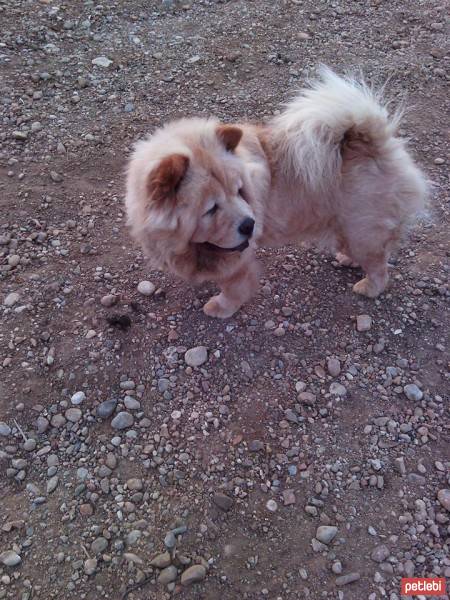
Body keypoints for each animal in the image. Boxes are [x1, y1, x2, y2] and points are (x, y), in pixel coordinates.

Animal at [125, 66, 428, 318]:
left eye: (239, 192)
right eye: (211, 209)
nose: (250, 224)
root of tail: (375, 142)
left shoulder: (237, 261)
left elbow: (233, 287)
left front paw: (220, 307)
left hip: (364, 227)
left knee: (378, 264)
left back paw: (368, 286)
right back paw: (347, 258)